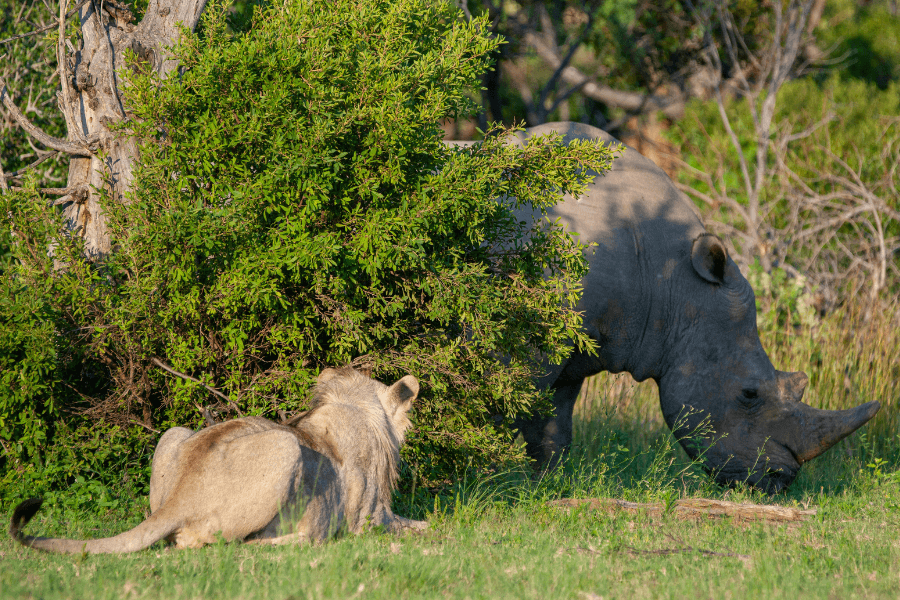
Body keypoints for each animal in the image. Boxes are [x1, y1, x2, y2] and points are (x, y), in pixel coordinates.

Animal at [9, 367, 427, 553]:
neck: (352, 407)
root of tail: (180, 499)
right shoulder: (372, 520)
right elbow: (420, 524)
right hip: (285, 446)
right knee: (223, 543)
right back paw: (308, 538)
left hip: (173, 432)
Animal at [452, 121, 880, 492]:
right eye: (749, 394)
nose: (779, 481)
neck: (671, 284)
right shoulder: (521, 336)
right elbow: (493, 408)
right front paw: (475, 484)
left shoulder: (572, 344)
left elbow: (553, 428)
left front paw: (547, 488)